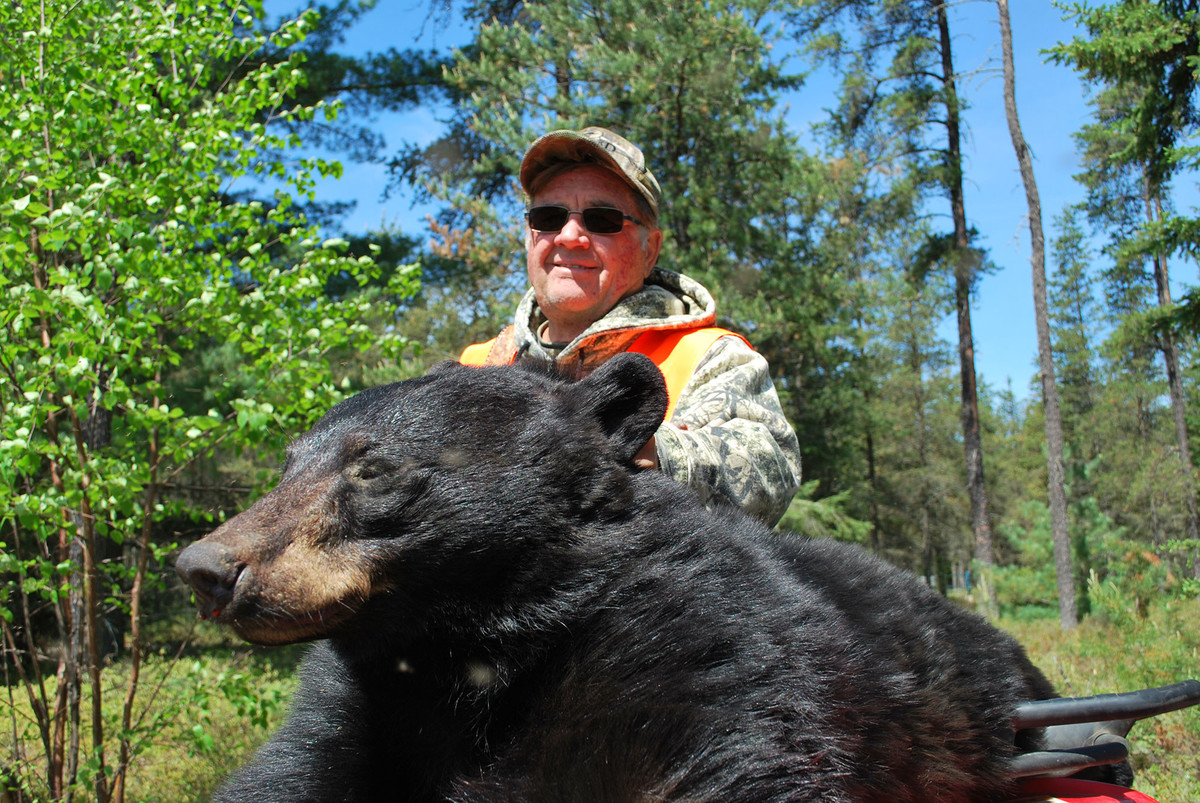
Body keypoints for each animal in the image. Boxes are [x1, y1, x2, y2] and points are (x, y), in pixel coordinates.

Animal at [174, 357, 1056, 801]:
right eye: (288, 463)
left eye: (373, 466)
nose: (206, 567)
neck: (469, 651)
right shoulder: (358, 708)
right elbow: (286, 776)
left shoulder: (694, 651)